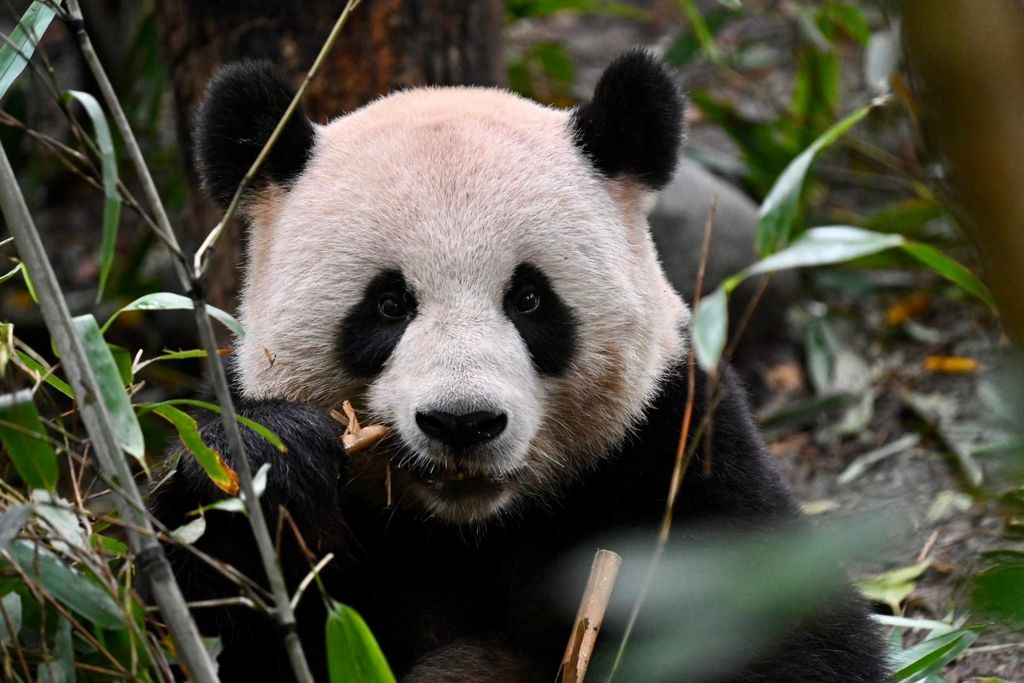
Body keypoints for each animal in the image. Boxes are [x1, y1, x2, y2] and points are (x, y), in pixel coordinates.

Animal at [151, 51, 887, 682]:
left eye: (529, 298)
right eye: (388, 304)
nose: (462, 421)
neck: (470, 529)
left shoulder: (672, 445)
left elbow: (785, 626)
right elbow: (193, 611)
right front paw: (270, 457)